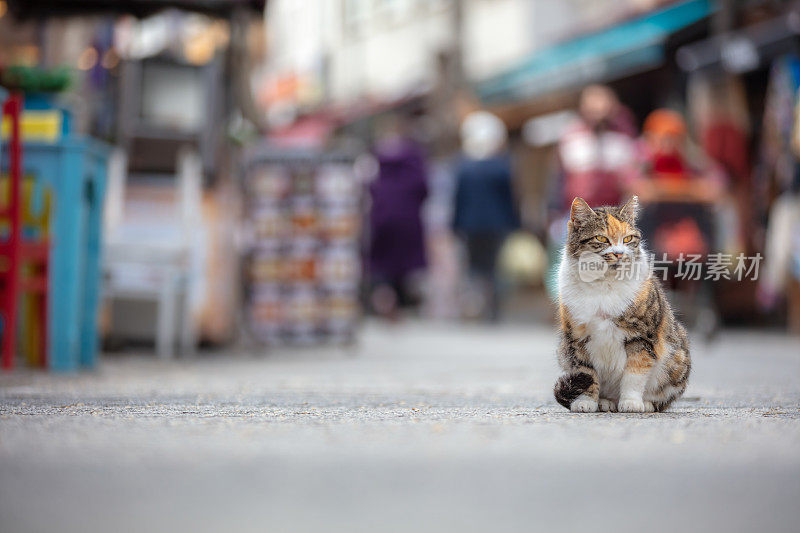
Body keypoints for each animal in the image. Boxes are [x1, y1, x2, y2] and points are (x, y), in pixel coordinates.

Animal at [552, 195, 692, 412]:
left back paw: (646, 403)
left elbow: (635, 373)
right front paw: (585, 402)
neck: (604, 284)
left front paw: (632, 402)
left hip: (678, 355)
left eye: (628, 239)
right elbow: (586, 372)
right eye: (601, 239)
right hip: (563, 350)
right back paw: (605, 402)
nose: (619, 253)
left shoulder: (641, 336)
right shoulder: (577, 337)